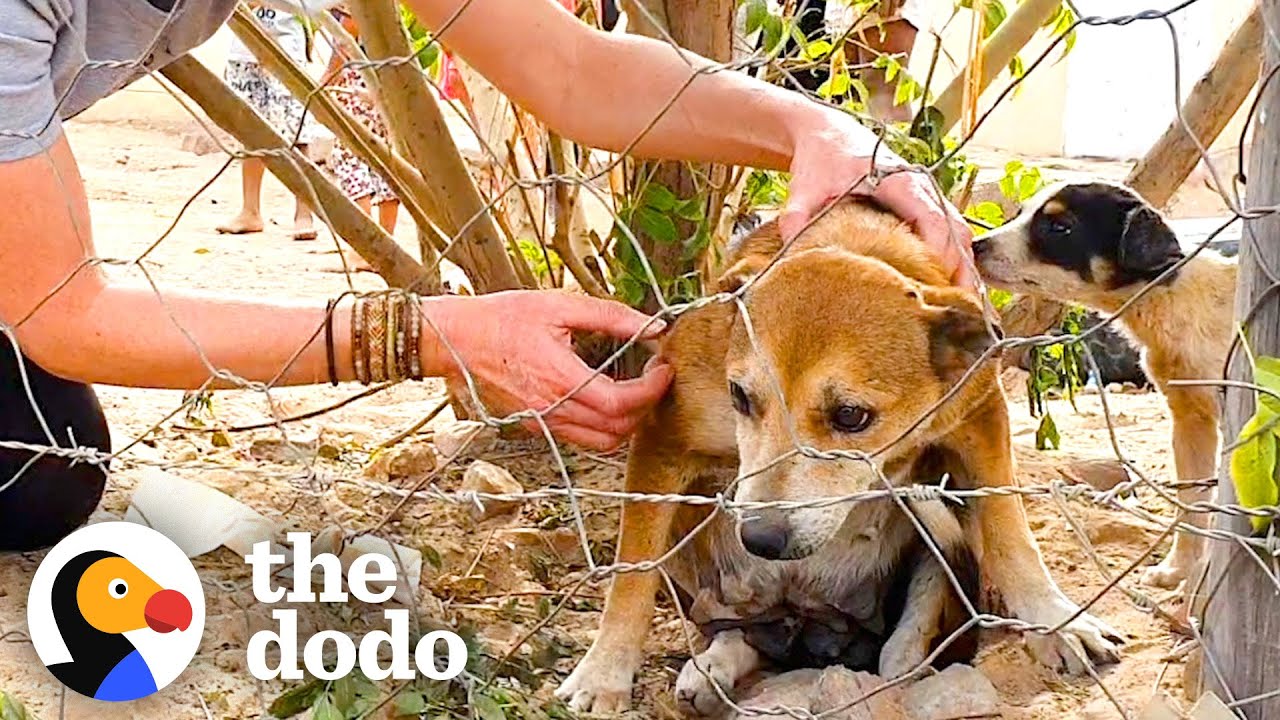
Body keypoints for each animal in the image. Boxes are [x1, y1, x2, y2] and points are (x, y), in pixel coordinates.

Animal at [972, 179, 1233, 589]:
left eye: (1060, 227)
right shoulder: (1191, 421)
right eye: (1023, 211)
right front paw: (1177, 571)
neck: (1172, 298)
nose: (974, 245)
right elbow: (1191, 505)